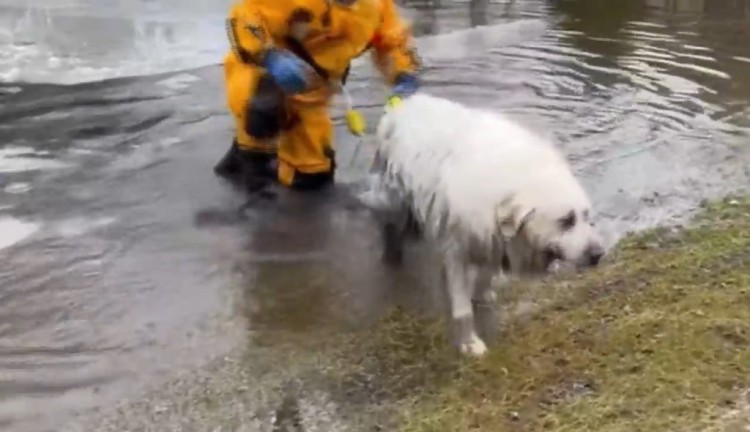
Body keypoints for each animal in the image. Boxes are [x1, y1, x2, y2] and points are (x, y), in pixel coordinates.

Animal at [360, 94, 604, 358]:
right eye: (566, 221)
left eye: (586, 217)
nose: (598, 255)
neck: (513, 180)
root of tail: (404, 104)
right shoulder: (456, 248)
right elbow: (463, 309)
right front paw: (469, 343)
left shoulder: (492, 238)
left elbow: (486, 274)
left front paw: (483, 294)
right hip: (396, 201)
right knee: (390, 229)